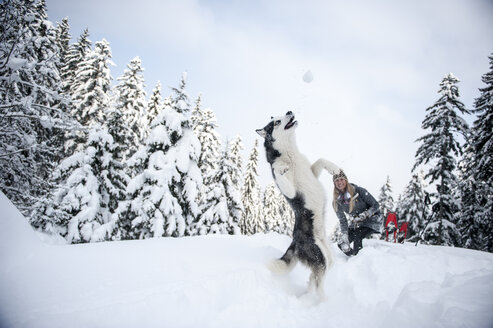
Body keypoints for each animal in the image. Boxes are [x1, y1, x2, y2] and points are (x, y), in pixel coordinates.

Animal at [256, 111, 340, 300]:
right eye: (276, 122)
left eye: (281, 115)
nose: (289, 111)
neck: (290, 154)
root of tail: (294, 241)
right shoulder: (290, 192)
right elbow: (279, 174)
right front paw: (281, 170)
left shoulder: (312, 171)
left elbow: (321, 160)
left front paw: (334, 168)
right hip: (320, 257)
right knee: (318, 282)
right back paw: (322, 301)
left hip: (328, 256)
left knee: (314, 277)